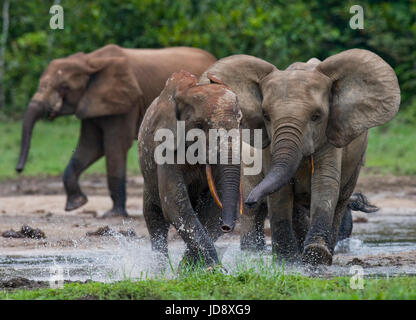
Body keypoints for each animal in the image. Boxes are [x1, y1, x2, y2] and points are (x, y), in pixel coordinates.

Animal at [138, 70, 242, 268]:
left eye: (240, 123)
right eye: (200, 126)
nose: (226, 227)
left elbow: (211, 210)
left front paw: (191, 268)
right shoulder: (165, 145)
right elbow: (175, 204)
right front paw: (210, 268)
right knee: (155, 220)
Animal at [200, 49, 402, 264]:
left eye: (317, 116)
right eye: (266, 116)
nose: (249, 199)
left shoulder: (329, 135)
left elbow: (325, 183)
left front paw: (316, 256)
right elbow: (281, 192)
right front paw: (285, 259)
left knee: (340, 200)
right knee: (255, 212)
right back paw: (256, 251)